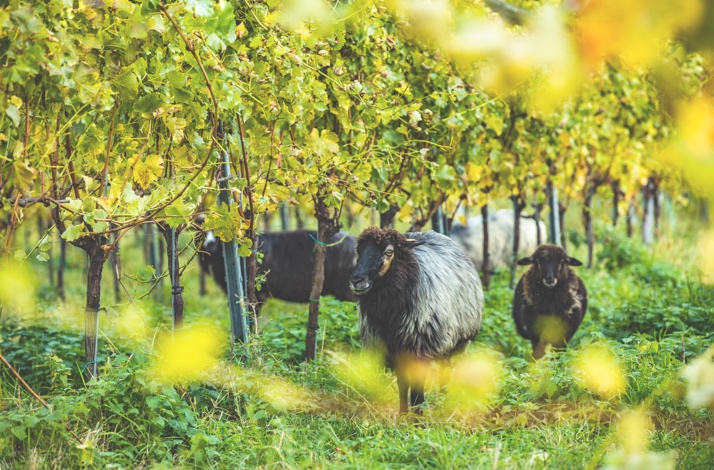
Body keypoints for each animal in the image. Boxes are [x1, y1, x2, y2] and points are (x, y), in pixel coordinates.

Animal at [350, 228, 484, 413]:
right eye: (358, 250)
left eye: (389, 252)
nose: (357, 280)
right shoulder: (394, 348)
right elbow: (403, 383)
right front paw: (403, 413)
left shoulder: (420, 347)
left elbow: (417, 386)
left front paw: (418, 415)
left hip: (456, 342)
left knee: (446, 369)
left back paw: (443, 400)